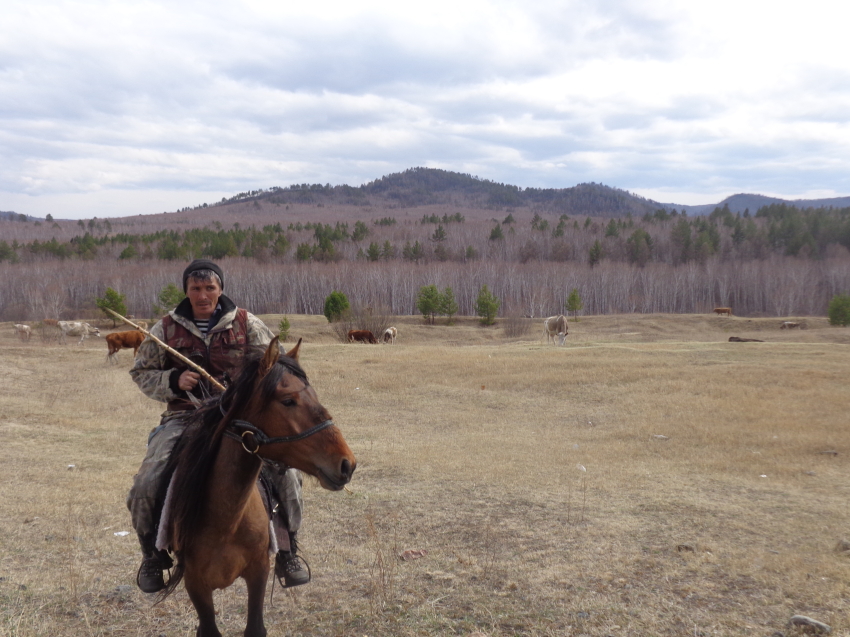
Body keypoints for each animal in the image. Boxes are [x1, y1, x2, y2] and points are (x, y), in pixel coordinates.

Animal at [160, 336, 358, 632]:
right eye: (288, 400)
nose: (347, 464)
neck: (225, 520)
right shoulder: (195, 584)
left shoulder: (259, 572)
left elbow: (255, 626)